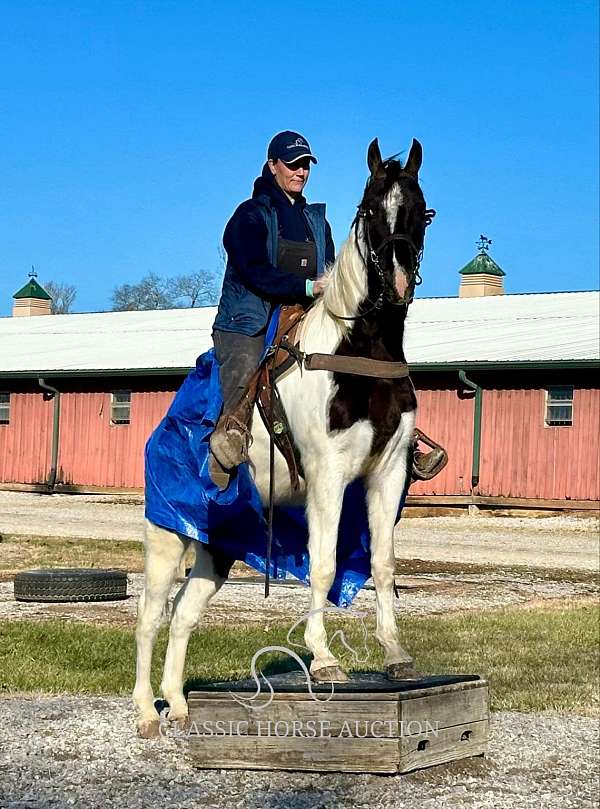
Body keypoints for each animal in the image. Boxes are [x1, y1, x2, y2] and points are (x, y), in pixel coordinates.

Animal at [134, 139, 428, 740]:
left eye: (420, 210)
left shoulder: (386, 475)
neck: (360, 352)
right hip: (166, 536)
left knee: (184, 616)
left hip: (216, 547)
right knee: (151, 617)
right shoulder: (327, 478)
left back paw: (178, 705)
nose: (397, 278)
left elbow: (383, 565)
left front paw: (395, 653)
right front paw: (325, 659)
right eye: (369, 209)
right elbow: (324, 564)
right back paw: (145, 711)